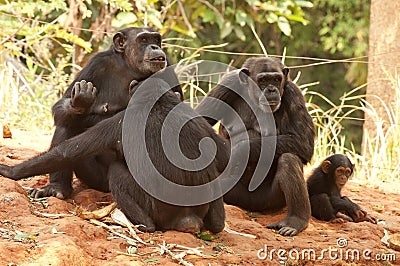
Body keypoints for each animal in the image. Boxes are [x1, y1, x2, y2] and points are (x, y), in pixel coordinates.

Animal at [0, 72, 228, 233]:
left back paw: (141, 225)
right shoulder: (199, 120)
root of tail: (188, 221)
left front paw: (10, 171)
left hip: (158, 211)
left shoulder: (120, 120)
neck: (160, 103)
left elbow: (67, 152)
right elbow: (223, 152)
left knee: (116, 172)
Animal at [30, 26, 183, 200]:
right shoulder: (96, 64)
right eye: (144, 39)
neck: (129, 67)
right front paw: (81, 101)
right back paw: (56, 187)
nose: (155, 47)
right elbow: (62, 102)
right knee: (67, 123)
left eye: (156, 40)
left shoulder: (168, 67)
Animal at [197, 57, 316, 236]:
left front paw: (239, 151)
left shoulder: (294, 94)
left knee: (289, 159)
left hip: (271, 200)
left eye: (276, 79)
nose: (272, 89)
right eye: (263, 80)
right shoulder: (227, 84)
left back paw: (295, 221)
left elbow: (303, 141)